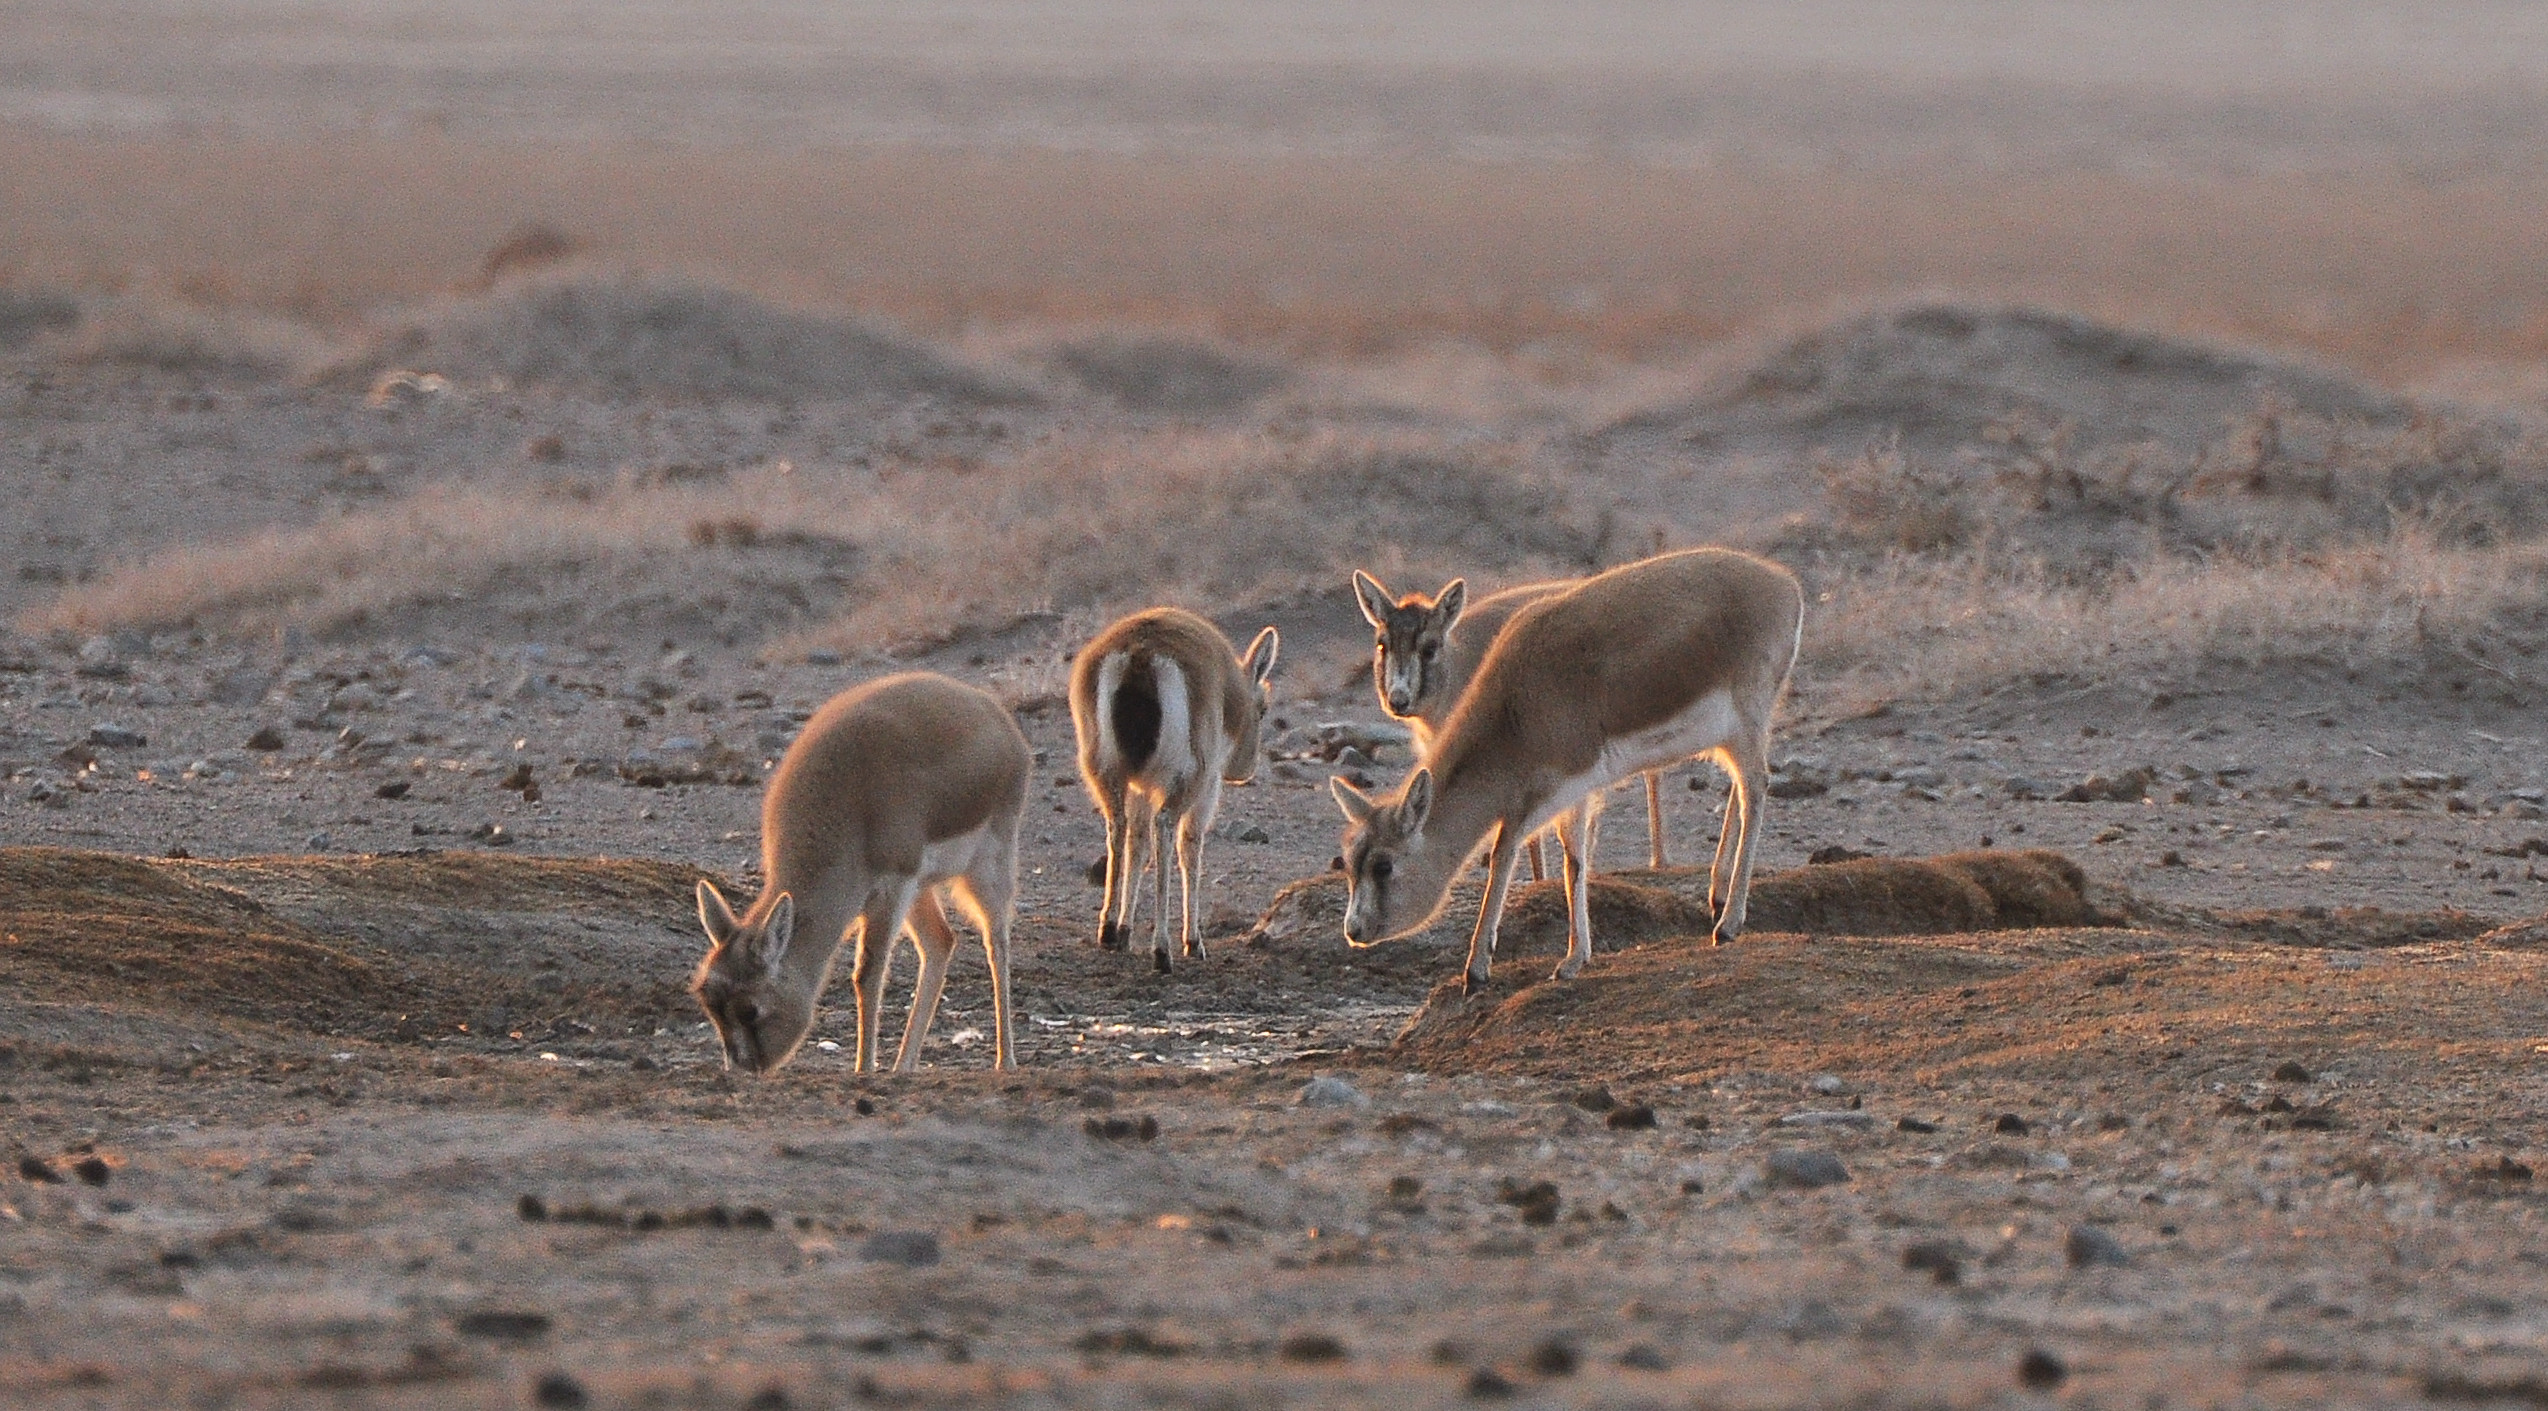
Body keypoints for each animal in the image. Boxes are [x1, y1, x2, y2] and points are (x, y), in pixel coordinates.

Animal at [692, 672, 1029, 1075]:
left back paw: (1005, 1061)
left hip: (985, 869)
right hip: (922, 890)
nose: (741, 1071)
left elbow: (867, 974)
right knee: (941, 942)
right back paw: (904, 1067)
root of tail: (992, 711)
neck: (844, 804)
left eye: (750, 1009)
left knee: (997, 943)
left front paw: (863, 1070)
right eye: (709, 1002)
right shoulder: (894, 889)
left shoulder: (892, 887)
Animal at [1071, 607, 1279, 973]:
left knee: (1120, 828)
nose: (1246, 768)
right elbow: (1190, 848)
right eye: (1263, 708)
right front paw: (1193, 942)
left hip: (1107, 774)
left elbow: (1137, 846)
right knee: (1165, 829)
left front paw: (1124, 931)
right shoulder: (1206, 787)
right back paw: (1162, 950)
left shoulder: (1141, 786)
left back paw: (1108, 930)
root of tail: (1140, 654)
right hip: (1186, 782)